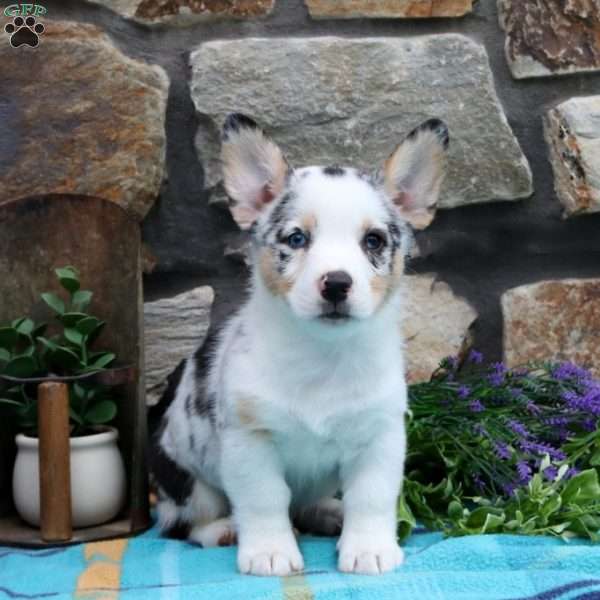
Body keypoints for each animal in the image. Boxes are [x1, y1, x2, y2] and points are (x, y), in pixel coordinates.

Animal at [150, 112, 450, 576]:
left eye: (374, 241)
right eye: (296, 239)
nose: (337, 283)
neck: (323, 354)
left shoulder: (379, 438)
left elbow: (370, 498)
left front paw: (368, 548)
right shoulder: (251, 442)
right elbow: (265, 500)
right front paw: (270, 551)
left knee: (307, 505)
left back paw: (329, 513)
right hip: (187, 482)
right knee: (183, 524)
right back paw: (222, 530)